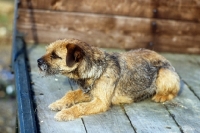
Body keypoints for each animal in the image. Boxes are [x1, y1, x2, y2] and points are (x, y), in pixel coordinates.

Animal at [37, 38, 180, 121]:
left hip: (164, 73)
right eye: (47, 51)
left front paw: (65, 113)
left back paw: (160, 96)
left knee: (173, 92)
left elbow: (80, 106)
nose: (38, 61)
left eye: (55, 56)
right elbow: (71, 94)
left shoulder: (101, 101)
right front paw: (59, 103)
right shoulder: (89, 91)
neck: (99, 69)